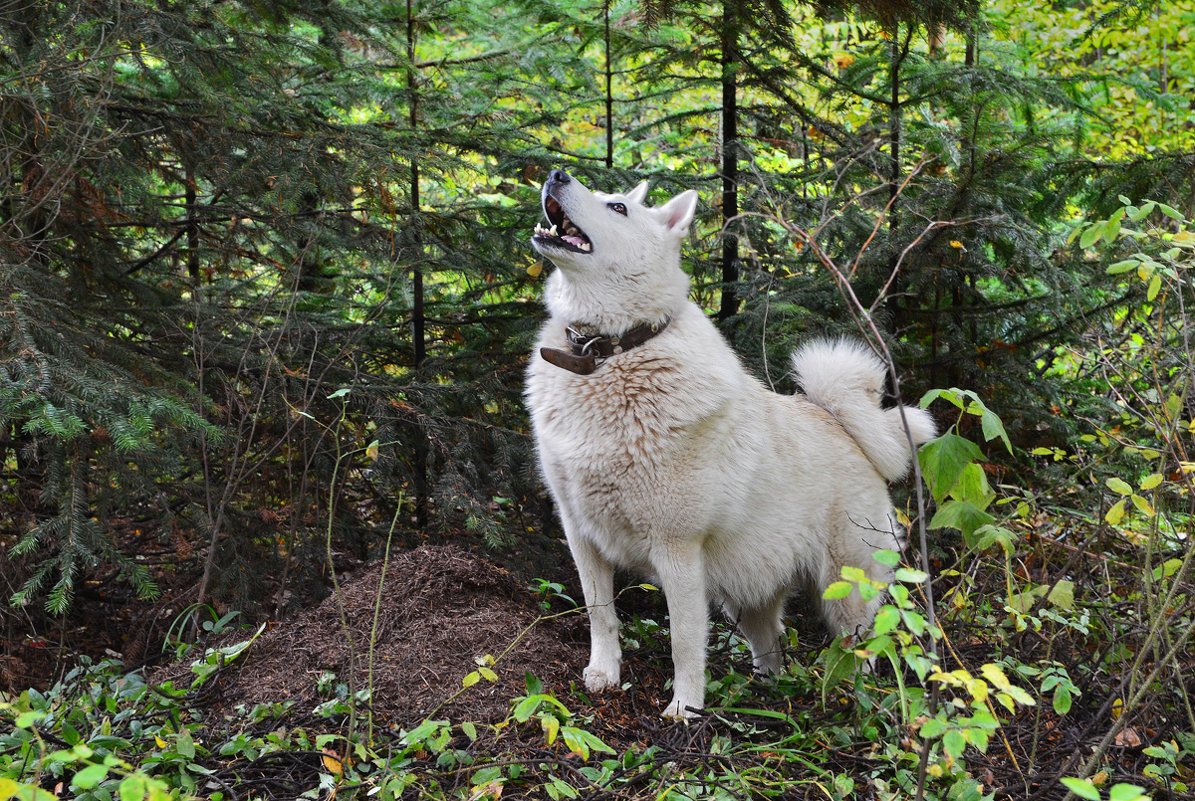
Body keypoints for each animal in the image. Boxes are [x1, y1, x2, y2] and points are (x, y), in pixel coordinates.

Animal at [523, 170, 932, 722]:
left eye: (618, 208)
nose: (556, 174)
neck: (609, 354)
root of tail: (847, 431)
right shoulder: (581, 535)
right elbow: (600, 615)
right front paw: (604, 675)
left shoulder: (678, 551)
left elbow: (684, 642)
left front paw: (685, 709)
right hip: (749, 591)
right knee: (771, 647)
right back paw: (767, 695)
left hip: (843, 592)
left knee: (861, 651)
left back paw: (855, 702)